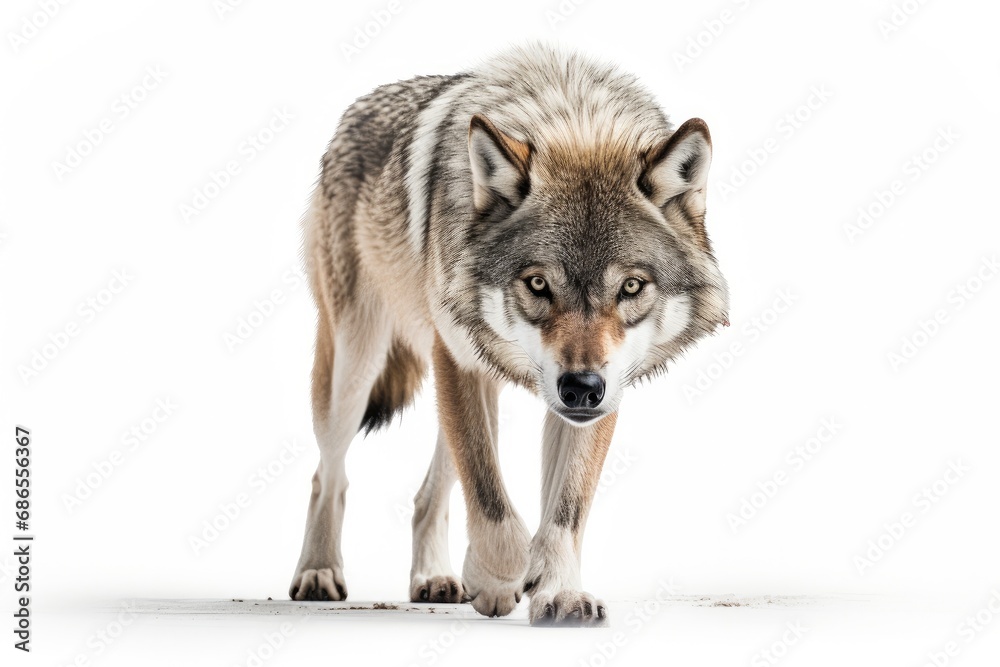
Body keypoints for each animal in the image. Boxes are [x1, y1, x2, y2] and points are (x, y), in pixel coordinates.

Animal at [288, 44, 729, 626]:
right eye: (538, 283)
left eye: (631, 287)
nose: (581, 387)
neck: (572, 116)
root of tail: (353, 112)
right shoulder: (457, 360)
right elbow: (490, 495)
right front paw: (504, 576)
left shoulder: (598, 398)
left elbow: (566, 508)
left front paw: (561, 592)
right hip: (355, 372)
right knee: (329, 475)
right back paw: (318, 572)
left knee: (427, 496)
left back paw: (433, 579)